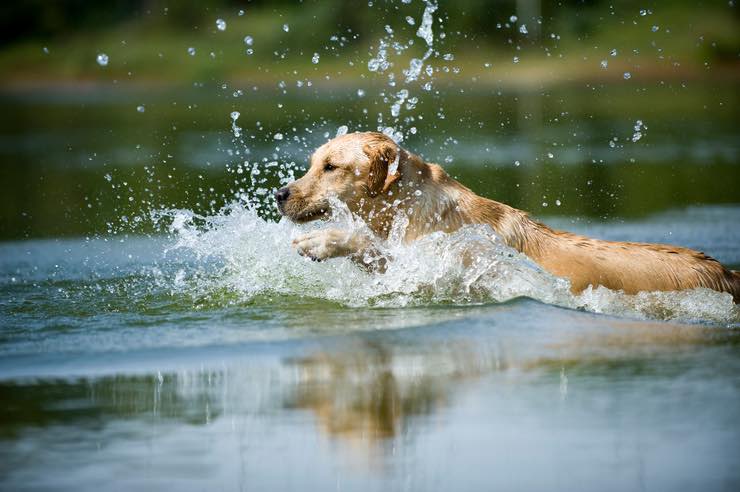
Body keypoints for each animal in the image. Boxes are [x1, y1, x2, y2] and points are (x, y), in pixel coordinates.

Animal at [276, 131, 740, 302]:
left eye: (330, 167)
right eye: (312, 162)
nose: (280, 194)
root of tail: (724, 272)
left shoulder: (450, 271)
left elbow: (371, 246)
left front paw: (323, 241)